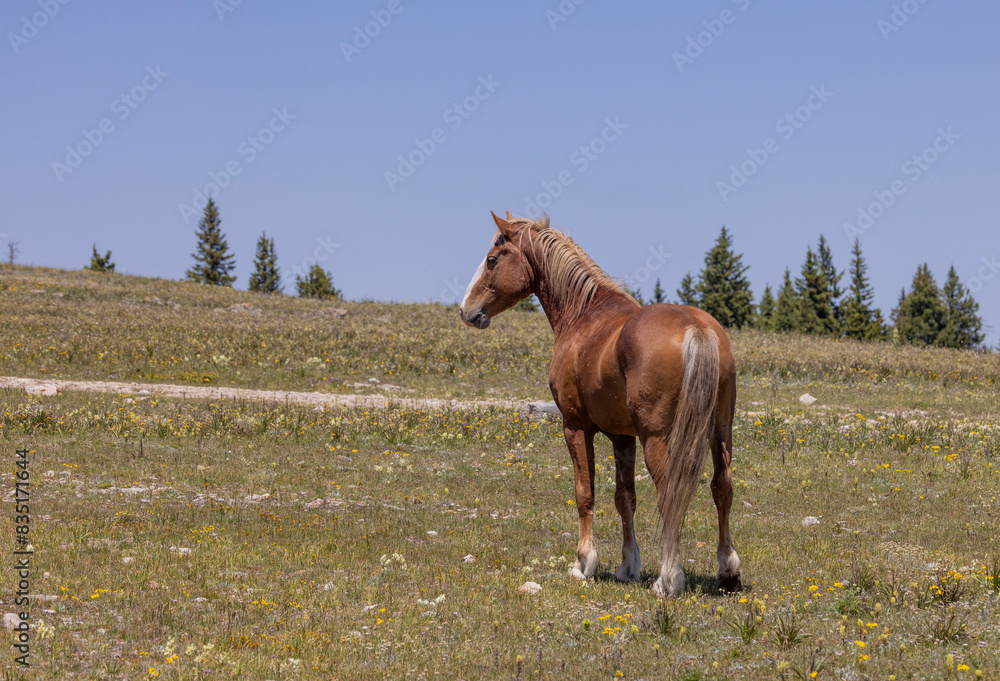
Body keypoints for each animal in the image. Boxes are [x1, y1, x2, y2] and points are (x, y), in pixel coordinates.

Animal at [459, 212, 741, 596]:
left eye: (491, 260)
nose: (466, 310)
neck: (584, 316)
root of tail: (695, 327)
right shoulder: (622, 436)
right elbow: (625, 498)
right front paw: (627, 566)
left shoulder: (577, 427)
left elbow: (585, 492)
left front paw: (583, 562)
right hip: (720, 431)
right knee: (721, 486)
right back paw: (728, 570)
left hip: (657, 438)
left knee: (669, 494)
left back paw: (669, 578)